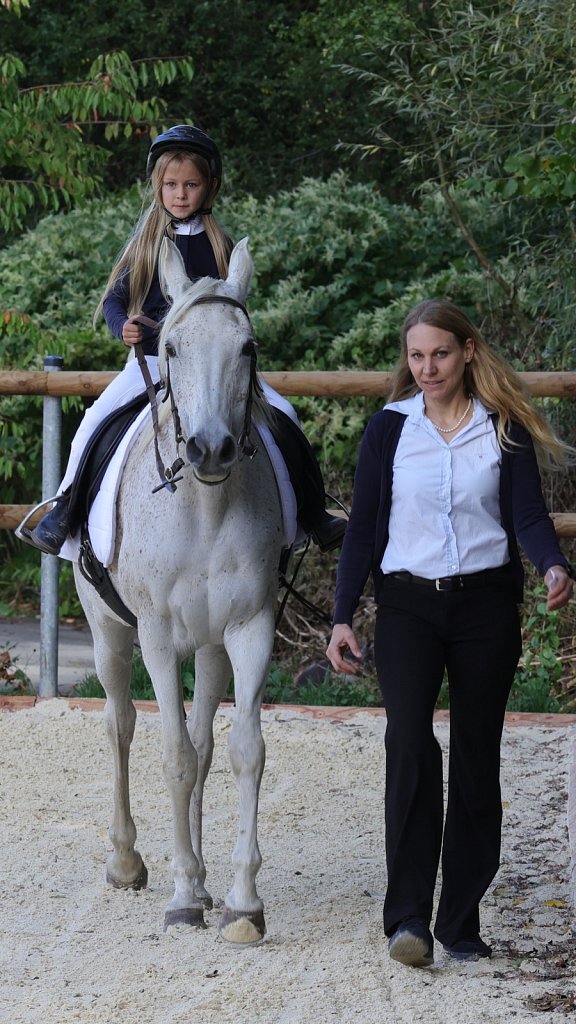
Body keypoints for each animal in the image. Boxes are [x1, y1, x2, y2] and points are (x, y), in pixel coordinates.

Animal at [73, 237, 284, 945]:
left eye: (247, 347)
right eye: (169, 346)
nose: (210, 448)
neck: (204, 506)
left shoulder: (249, 630)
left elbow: (242, 751)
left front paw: (242, 902)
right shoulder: (158, 638)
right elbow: (172, 757)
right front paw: (183, 893)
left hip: (212, 648)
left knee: (205, 741)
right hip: (109, 636)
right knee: (120, 725)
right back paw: (127, 861)